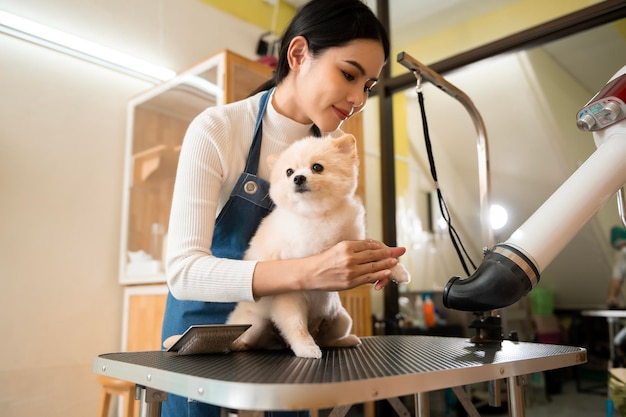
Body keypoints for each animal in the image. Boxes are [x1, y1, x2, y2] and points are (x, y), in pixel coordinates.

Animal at [225, 133, 410, 358]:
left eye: (317, 167)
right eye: (289, 172)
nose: (298, 178)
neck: (317, 215)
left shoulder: (354, 241)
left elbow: (379, 253)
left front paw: (398, 270)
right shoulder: (290, 295)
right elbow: (296, 326)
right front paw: (306, 348)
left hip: (341, 319)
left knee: (327, 338)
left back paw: (345, 340)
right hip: (255, 324)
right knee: (255, 338)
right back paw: (239, 345)